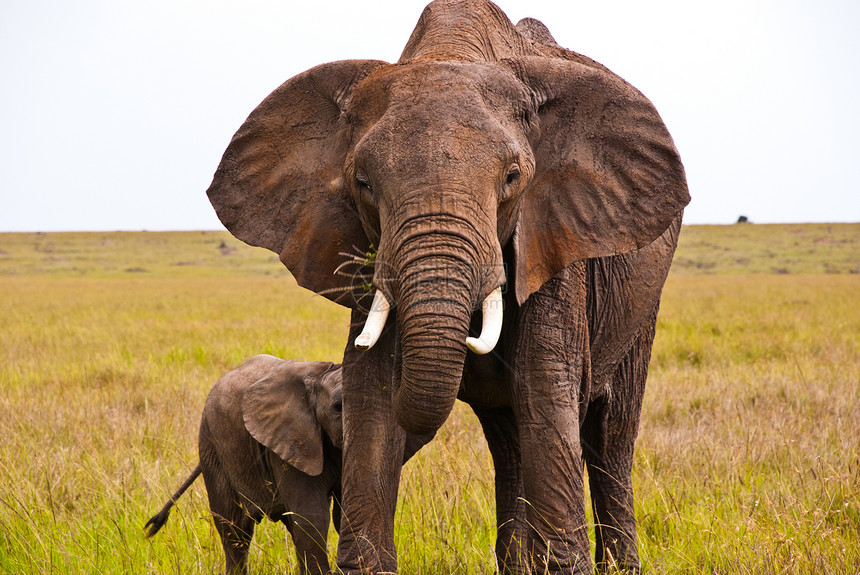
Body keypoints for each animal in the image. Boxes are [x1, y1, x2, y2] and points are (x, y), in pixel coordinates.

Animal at [205, 2, 688, 572]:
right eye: (362, 183)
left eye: (513, 177)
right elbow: (373, 389)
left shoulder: (553, 239)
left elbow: (545, 386)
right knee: (510, 441)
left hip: (641, 305)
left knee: (609, 438)